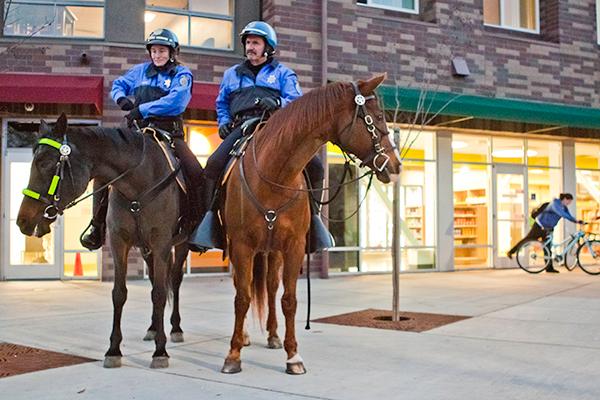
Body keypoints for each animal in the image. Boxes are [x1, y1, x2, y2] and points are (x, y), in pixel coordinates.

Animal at [17, 113, 190, 368]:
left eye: (47, 164)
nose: (22, 220)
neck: (138, 185)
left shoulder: (161, 244)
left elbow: (160, 293)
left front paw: (160, 351)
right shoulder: (120, 243)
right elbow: (119, 293)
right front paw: (113, 350)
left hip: (181, 244)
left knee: (174, 281)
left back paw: (176, 328)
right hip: (146, 250)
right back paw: (151, 328)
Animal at [219, 73, 398, 374]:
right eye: (377, 117)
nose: (396, 166)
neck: (273, 176)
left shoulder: (293, 246)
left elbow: (289, 300)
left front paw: (293, 356)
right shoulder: (242, 245)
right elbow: (241, 298)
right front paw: (232, 355)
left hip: (273, 251)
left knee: (270, 285)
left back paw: (273, 335)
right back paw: (244, 336)